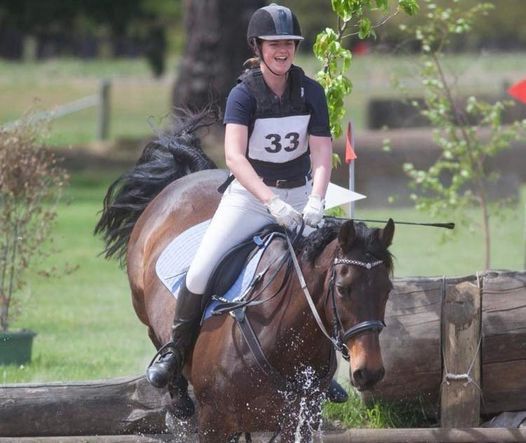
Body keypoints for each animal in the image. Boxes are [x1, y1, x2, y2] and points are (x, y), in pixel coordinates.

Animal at [97, 110, 398, 440]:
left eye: (388, 290)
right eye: (343, 288)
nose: (369, 372)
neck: (285, 337)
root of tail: (188, 177)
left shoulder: (300, 418)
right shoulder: (214, 422)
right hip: (143, 305)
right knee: (159, 331)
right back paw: (173, 387)